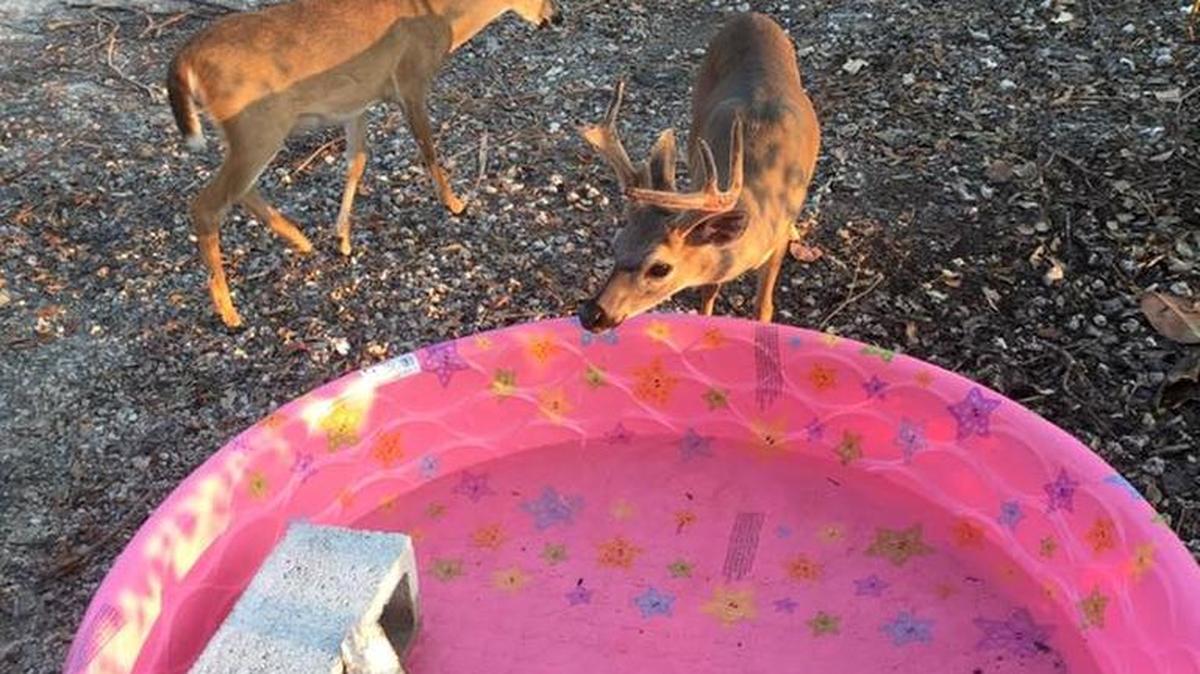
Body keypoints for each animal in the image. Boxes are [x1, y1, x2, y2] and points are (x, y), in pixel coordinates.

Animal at [166, 0, 561, 328]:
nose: (555, 16)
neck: (442, 15)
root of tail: (184, 58)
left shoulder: (357, 103)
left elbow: (357, 161)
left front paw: (342, 237)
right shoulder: (411, 79)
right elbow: (427, 147)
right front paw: (454, 203)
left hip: (249, 133)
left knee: (238, 192)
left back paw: (301, 241)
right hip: (256, 125)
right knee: (206, 204)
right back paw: (229, 312)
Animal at [575, 12, 820, 333]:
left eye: (660, 268)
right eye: (616, 244)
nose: (591, 314)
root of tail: (750, 15)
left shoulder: (775, 246)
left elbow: (763, 307)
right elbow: (708, 292)